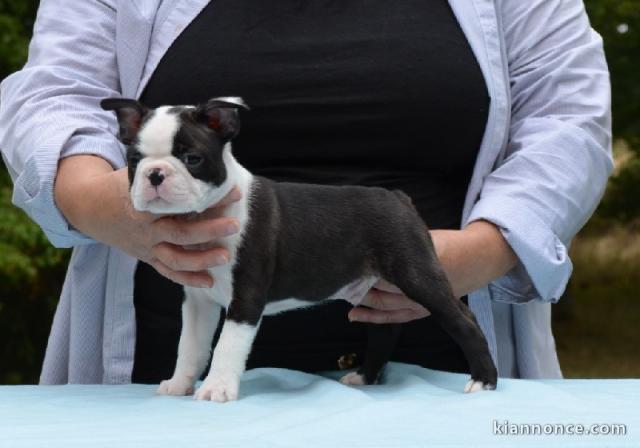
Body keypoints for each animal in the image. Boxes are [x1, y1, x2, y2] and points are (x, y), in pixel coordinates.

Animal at [101, 97, 500, 402]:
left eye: (192, 159)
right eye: (134, 160)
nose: (155, 174)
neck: (207, 214)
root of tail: (398, 199)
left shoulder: (246, 297)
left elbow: (227, 345)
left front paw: (216, 389)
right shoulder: (199, 300)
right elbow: (191, 346)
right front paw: (180, 383)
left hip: (416, 272)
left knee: (463, 321)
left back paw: (484, 380)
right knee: (385, 329)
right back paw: (365, 377)